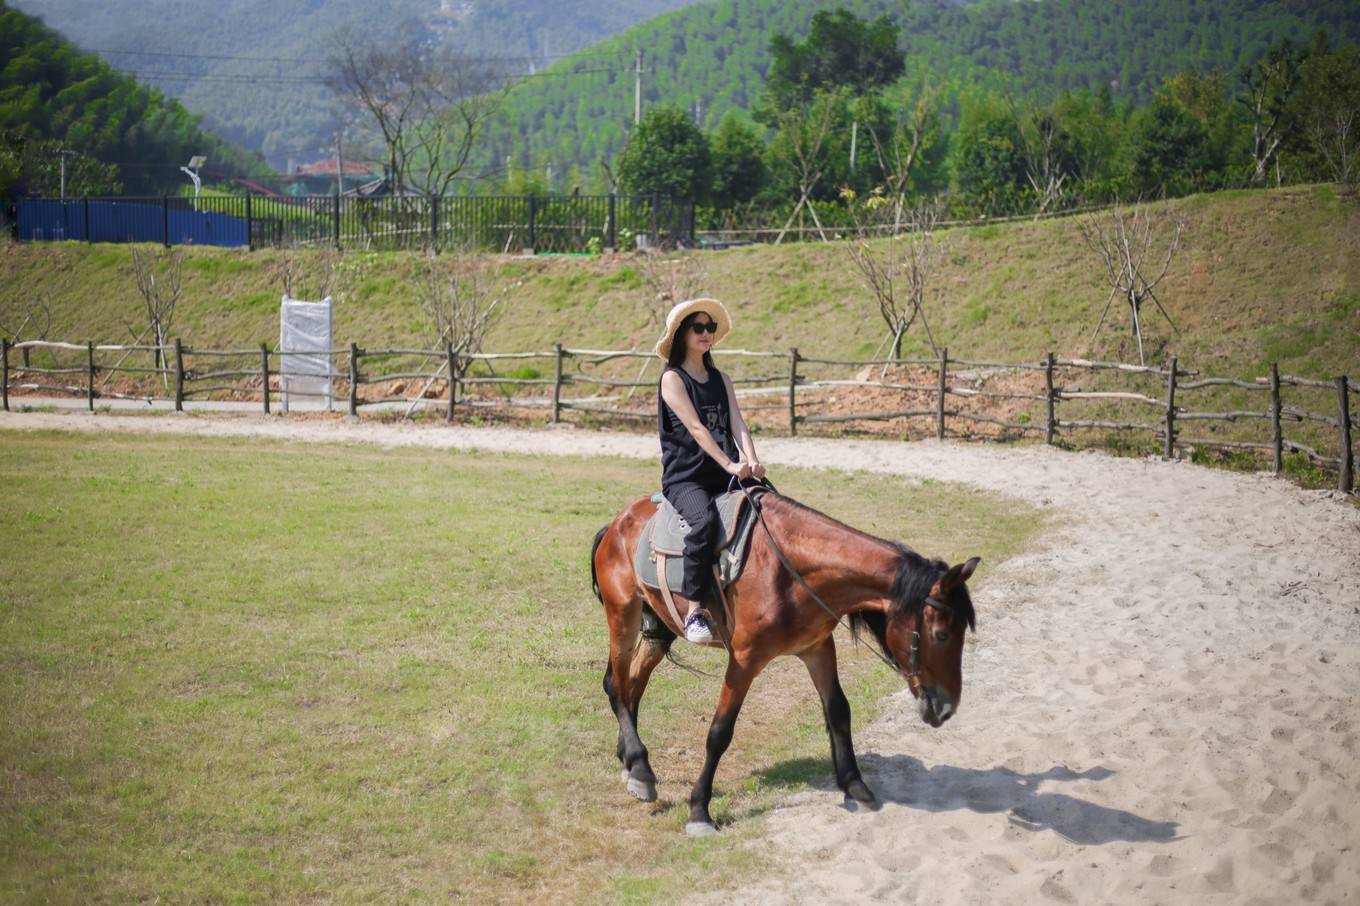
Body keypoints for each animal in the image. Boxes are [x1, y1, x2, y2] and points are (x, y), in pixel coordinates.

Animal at [590, 484, 984, 837]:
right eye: (941, 634)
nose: (946, 708)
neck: (791, 570)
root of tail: (616, 523)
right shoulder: (744, 659)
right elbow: (719, 732)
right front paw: (700, 811)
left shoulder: (817, 648)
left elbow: (838, 712)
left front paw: (855, 786)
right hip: (623, 612)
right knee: (616, 685)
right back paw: (640, 767)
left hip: (658, 624)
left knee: (633, 684)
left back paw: (633, 766)